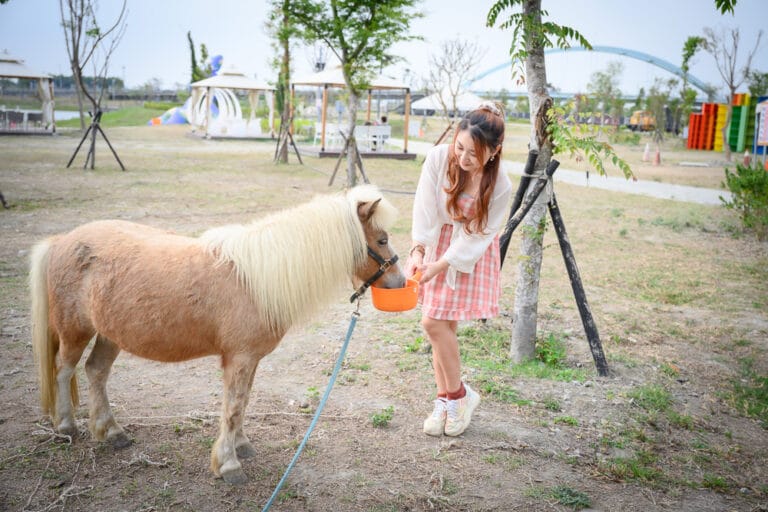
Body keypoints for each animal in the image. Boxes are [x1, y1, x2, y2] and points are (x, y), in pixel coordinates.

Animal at [29, 184, 405, 485]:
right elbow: (233, 406)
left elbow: (244, 402)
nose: (400, 282)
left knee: (95, 372)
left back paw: (111, 431)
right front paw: (228, 465)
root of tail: (62, 241)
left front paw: (241, 445)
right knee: (64, 369)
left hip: (110, 333)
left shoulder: (250, 360)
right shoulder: (239, 358)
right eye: (382, 240)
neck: (255, 279)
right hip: (75, 330)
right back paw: (66, 427)